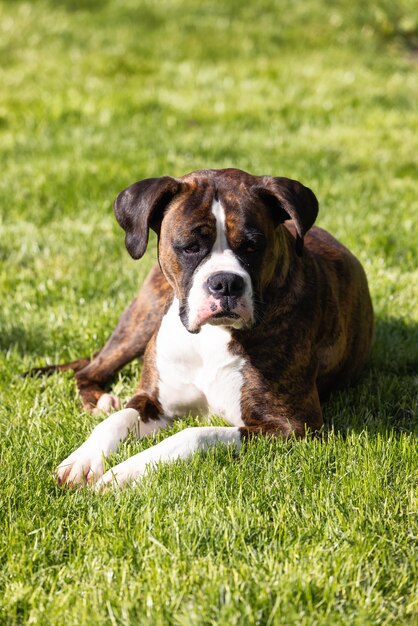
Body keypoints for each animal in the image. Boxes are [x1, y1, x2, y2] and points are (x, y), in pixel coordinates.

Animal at [30, 167, 376, 488]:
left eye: (253, 246)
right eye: (190, 246)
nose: (226, 282)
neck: (212, 336)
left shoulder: (293, 426)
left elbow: (193, 434)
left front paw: (125, 473)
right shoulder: (153, 402)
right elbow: (119, 419)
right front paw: (84, 459)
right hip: (142, 320)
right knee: (89, 371)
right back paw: (101, 401)